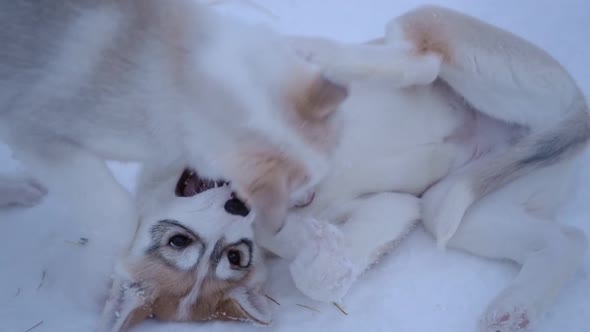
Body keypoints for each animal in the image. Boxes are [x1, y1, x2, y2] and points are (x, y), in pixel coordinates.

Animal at [106, 4, 590, 332]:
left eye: (178, 239)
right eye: (235, 257)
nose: (238, 205)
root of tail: (575, 120)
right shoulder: (394, 208)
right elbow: (318, 278)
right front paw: (324, 253)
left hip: (443, 37)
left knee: (419, 60)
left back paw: (320, 53)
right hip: (457, 207)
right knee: (564, 240)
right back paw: (515, 309)